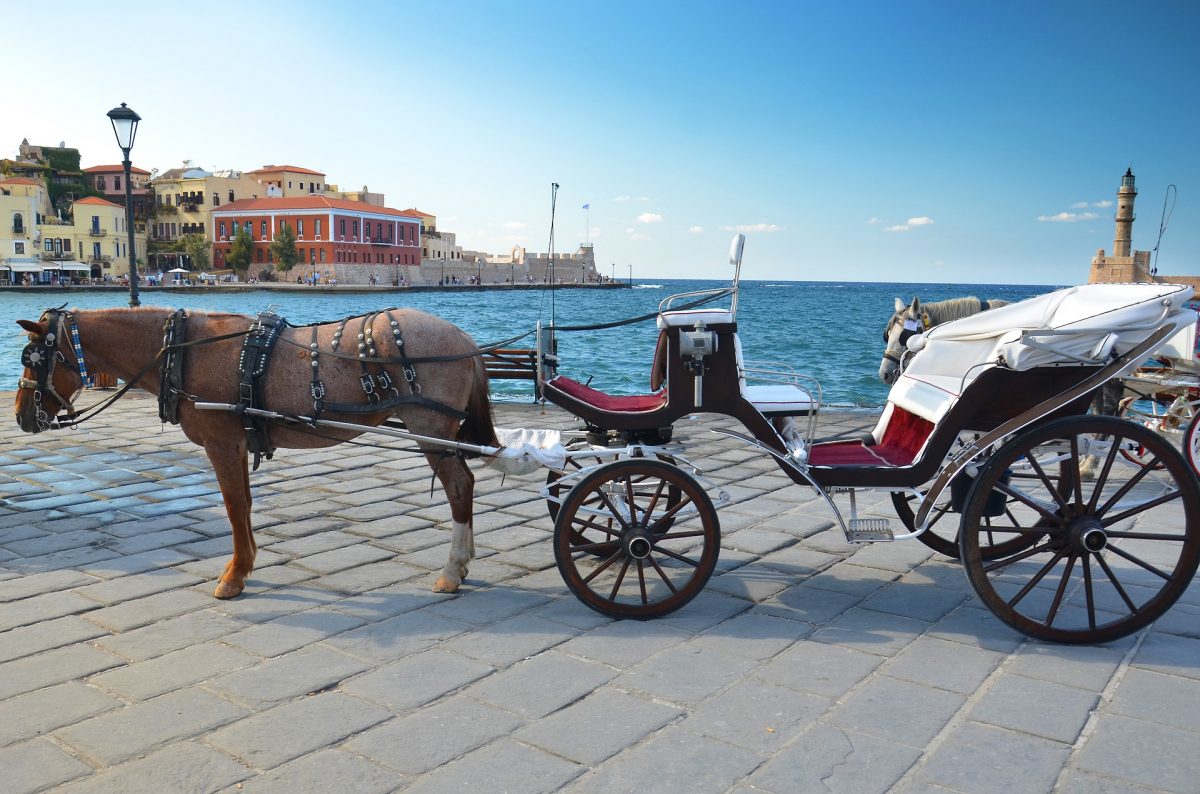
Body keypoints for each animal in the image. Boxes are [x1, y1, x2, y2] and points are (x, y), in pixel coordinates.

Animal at [15, 307, 492, 599]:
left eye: (32, 358)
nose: (20, 415)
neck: (183, 350)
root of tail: (463, 336)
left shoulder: (222, 444)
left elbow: (231, 506)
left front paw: (234, 574)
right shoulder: (240, 444)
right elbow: (243, 503)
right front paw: (245, 565)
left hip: (431, 430)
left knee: (459, 486)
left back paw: (453, 569)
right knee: (465, 485)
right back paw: (464, 561)